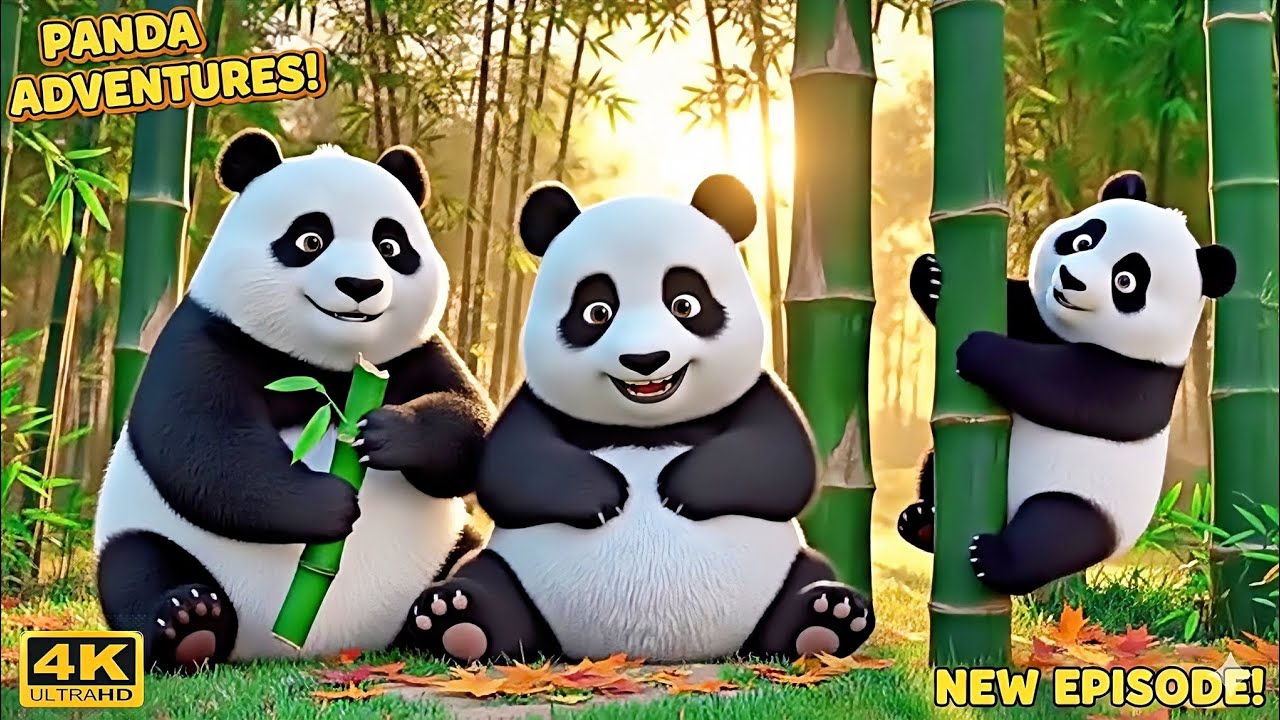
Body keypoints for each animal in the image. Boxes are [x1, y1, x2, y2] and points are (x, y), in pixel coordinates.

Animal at [93, 129, 493, 671]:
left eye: (390, 245)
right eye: (310, 240)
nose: (361, 286)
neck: (330, 365)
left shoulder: (415, 352)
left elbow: (469, 423)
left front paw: (389, 434)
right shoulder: (206, 337)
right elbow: (205, 446)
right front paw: (328, 503)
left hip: (442, 546)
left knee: (476, 556)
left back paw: (454, 614)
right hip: (153, 539)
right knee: (136, 564)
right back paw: (188, 623)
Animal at [396, 175, 875, 663]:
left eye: (685, 304)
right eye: (597, 312)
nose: (645, 360)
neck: (648, 424)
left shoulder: (757, 391)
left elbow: (783, 461)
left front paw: (678, 488)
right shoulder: (534, 402)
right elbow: (509, 467)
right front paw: (603, 495)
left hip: (783, 570)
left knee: (806, 580)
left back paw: (826, 618)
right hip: (514, 574)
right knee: (488, 580)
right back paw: (456, 617)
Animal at [896, 170, 1236, 595]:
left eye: (1126, 281)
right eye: (1082, 241)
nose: (1071, 280)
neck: (1071, 333)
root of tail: (1007, 513)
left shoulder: (1143, 372)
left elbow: (1077, 392)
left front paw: (980, 352)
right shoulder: (1039, 319)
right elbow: (1017, 306)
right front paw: (929, 277)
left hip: (1087, 503)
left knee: (1055, 531)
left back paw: (996, 558)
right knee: (933, 465)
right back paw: (922, 523)